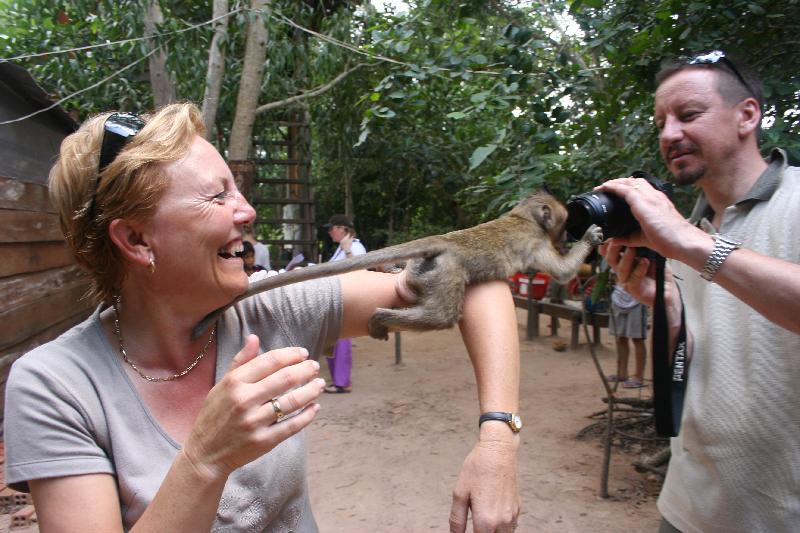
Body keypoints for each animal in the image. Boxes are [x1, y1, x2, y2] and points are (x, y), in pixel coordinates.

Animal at [194, 191, 600, 338]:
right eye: (564, 223)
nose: (565, 236)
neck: (522, 217)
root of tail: (442, 242)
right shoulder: (536, 242)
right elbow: (563, 271)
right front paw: (592, 238)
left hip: (426, 271)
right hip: (448, 271)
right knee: (441, 316)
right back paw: (379, 318)